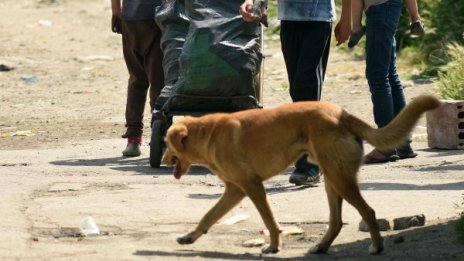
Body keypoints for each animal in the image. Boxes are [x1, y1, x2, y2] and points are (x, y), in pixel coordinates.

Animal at [161, 94, 440, 254]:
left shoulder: (251, 186)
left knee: (368, 211)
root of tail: (342, 114)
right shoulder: (235, 190)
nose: (162, 161)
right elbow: (208, 216)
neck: (205, 134)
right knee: (336, 221)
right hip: (332, 179)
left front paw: (274, 246)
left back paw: (376, 246)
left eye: (165, 143)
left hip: (339, 178)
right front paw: (189, 237)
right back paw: (322, 246)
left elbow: (270, 221)